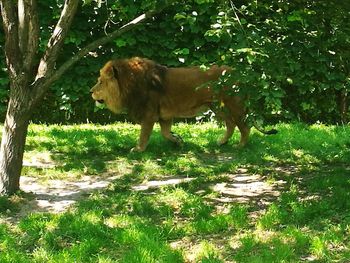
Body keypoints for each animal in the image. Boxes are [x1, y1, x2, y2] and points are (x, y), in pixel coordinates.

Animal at [90, 57, 276, 153]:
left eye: (100, 82)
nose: (90, 91)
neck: (129, 85)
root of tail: (238, 74)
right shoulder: (164, 116)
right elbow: (165, 133)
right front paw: (178, 141)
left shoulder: (149, 114)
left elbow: (144, 135)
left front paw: (138, 149)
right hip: (216, 106)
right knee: (230, 123)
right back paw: (222, 142)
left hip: (234, 105)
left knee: (244, 126)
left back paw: (240, 146)